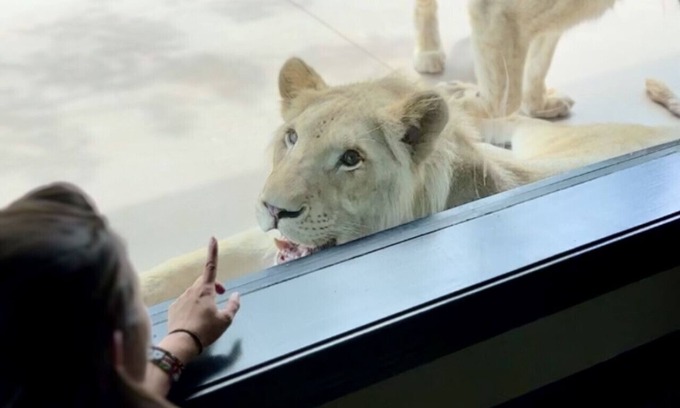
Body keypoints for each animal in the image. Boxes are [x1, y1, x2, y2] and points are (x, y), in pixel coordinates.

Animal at [139, 57, 679, 306]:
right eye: (291, 138)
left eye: (351, 159)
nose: (274, 209)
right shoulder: (260, 241)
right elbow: (175, 269)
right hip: (531, 141)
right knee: (501, 118)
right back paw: (459, 94)